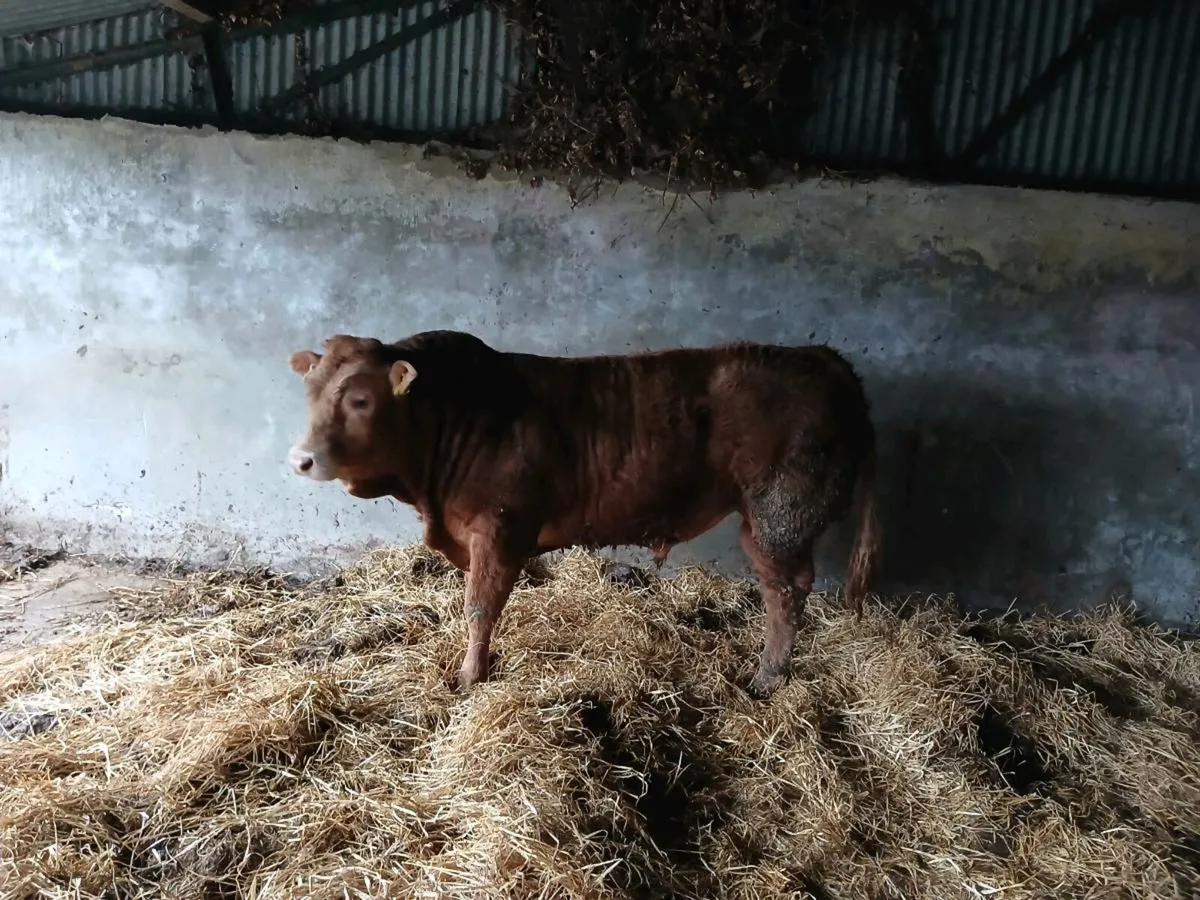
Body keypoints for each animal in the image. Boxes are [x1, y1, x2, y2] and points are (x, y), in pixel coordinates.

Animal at [286, 330, 880, 699]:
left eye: (361, 400)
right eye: (309, 393)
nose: (300, 459)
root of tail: (821, 357)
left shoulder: (498, 527)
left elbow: (480, 608)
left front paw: (470, 677)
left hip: (778, 514)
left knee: (786, 590)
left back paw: (767, 677)